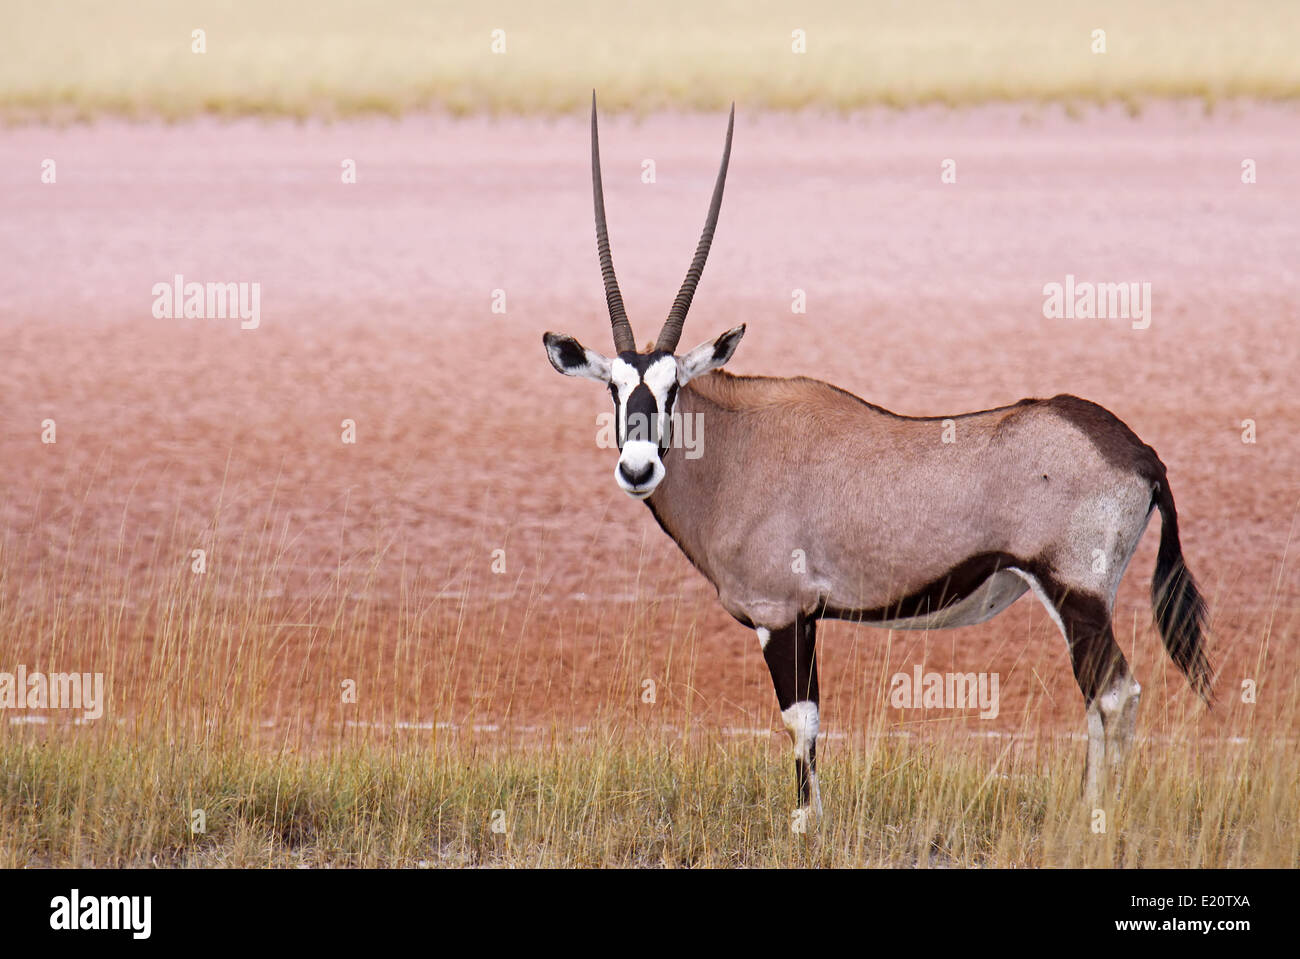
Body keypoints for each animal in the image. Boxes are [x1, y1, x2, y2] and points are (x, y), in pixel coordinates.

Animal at [543, 95, 1211, 816]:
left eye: (672, 390)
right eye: (614, 388)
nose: (638, 468)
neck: (733, 451)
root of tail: (1139, 451)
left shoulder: (783, 614)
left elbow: (800, 721)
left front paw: (806, 821)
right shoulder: (806, 618)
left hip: (1075, 590)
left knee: (1115, 695)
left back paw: (1096, 817)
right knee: (1098, 700)